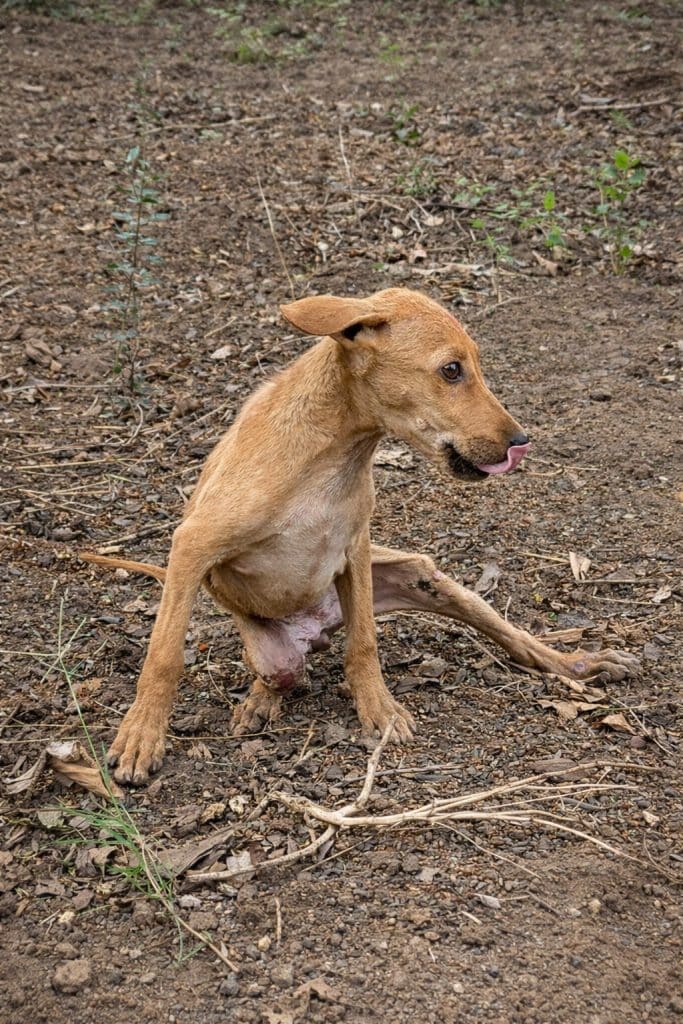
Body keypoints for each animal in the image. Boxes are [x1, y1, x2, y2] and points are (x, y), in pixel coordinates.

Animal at [82, 288, 638, 784]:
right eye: (451, 370)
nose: (521, 442)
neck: (332, 454)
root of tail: (316, 625)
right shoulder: (191, 547)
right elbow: (163, 655)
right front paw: (142, 736)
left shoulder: (356, 551)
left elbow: (365, 643)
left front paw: (379, 709)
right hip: (272, 651)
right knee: (280, 676)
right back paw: (258, 705)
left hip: (421, 576)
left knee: (516, 639)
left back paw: (578, 662)